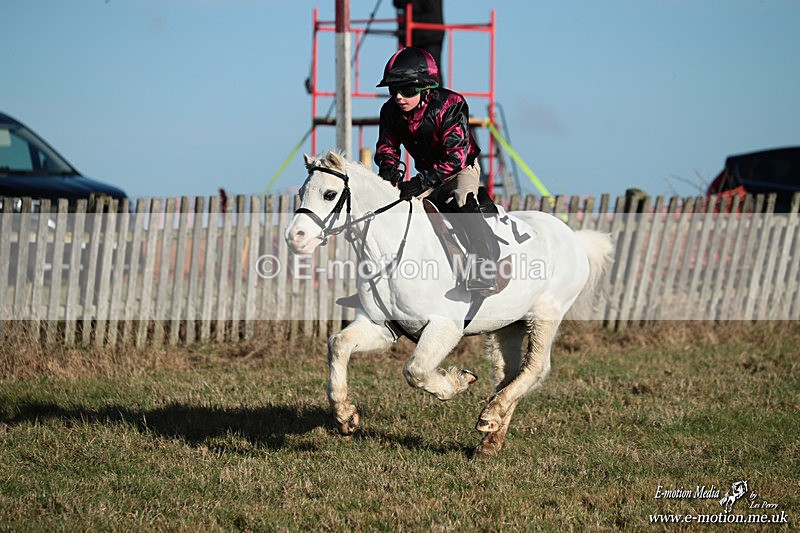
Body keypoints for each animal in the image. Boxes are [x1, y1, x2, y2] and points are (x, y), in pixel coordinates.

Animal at [284, 150, 613, 457]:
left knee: (536, 368)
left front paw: (458, 382)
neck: (393, 248)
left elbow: (415, 370)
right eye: (301, 192)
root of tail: (574, 237)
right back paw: (490, 438)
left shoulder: (444, 327)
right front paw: (345, 416)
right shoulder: (382, 326)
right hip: (509, 325)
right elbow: (338, 344)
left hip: (546, 315)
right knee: (508, 374)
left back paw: (490, 414)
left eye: (329, 194)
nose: (294, 238)